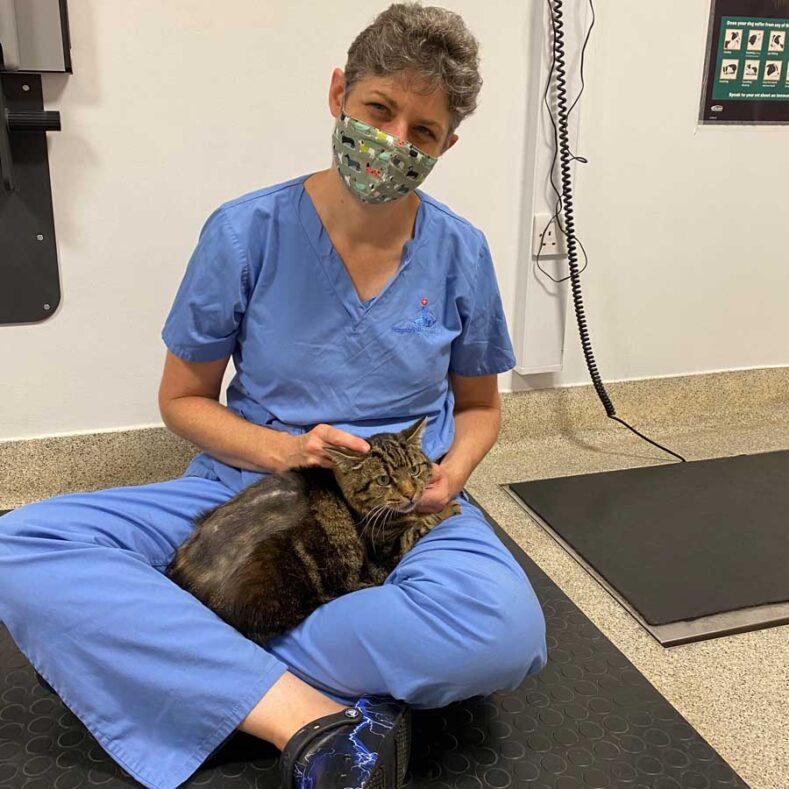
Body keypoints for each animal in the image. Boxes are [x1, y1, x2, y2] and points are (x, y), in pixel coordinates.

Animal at [166, 416, 462, 644]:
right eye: (383, 480)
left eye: (414, 470)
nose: (411, 493)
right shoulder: (387, 551)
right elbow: (421, 523)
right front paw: (446, 508)